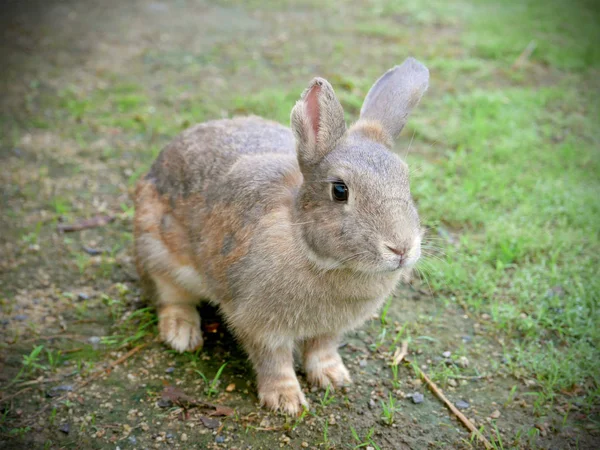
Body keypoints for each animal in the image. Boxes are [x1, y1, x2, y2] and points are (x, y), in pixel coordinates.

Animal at [134, 57, 428, 414]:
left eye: (406, 181)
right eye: (340, 190)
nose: (401, 249)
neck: (317, 255)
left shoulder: (330, 329)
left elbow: (322, 349)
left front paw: (334, 378)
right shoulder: (259, 323)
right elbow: (273, 360)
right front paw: (286, 401)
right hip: (157, 253)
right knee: (170, 298)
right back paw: (181, 335)